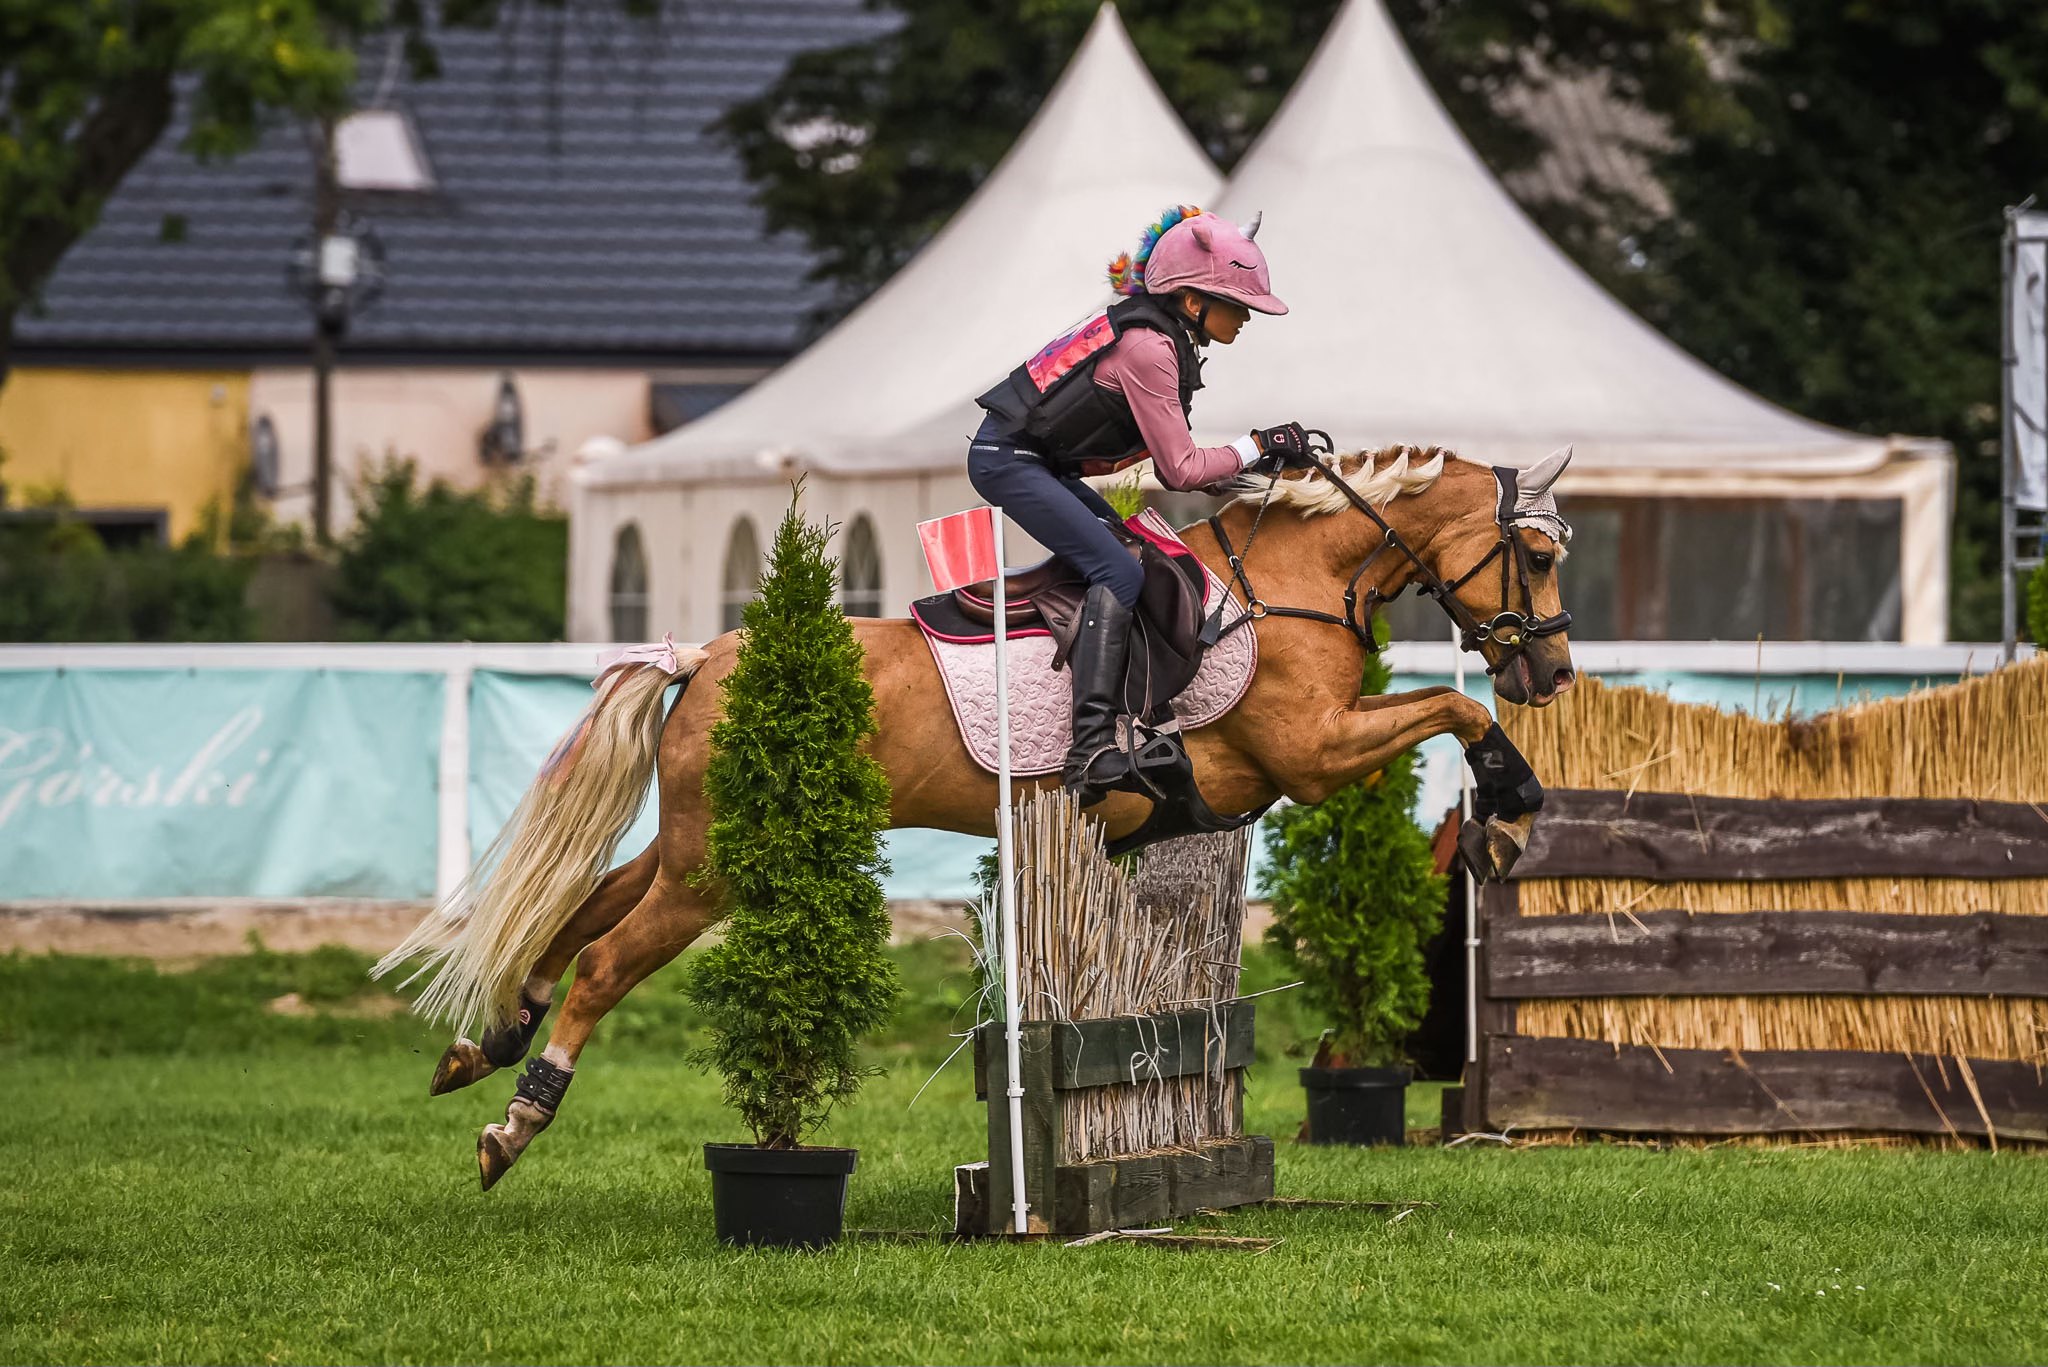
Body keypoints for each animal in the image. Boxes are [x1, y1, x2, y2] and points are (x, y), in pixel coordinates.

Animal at [376, 442, 1578, 1188]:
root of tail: (708, 654)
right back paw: (515, 1118)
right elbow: (1452, 704)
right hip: (710, 867)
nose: (1556, 672)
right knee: (605, 958)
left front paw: (1508, 805)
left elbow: (1443, 704)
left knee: (583, 908)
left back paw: (484, 1040)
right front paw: (1510, 810)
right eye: (1538, 554)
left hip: (696, 847)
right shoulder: (1311, 751)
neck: (1287, 583)